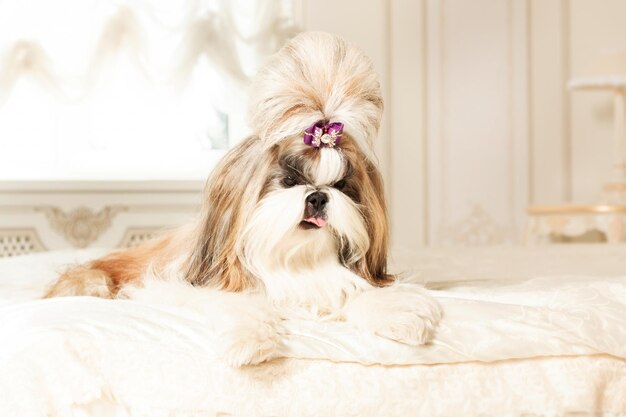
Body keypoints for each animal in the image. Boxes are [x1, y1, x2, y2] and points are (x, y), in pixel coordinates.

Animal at [46, 31, 442, 364]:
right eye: (288, 180)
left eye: (342, 185)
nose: (317, 197)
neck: (295, 261)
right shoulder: (182, 287)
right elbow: (236, 303)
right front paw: (249, 339)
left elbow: (360, 292)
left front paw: (399, 315)